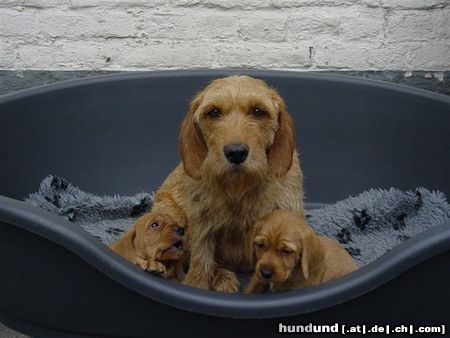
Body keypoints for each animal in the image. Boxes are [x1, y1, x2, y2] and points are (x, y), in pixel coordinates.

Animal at [146, 75, 304, 292]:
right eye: (214, 112)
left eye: (258, 111)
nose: (236, 152)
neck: (239, 188)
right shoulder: (202, 221)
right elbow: (201, 259)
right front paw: (197, 285)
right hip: (168, 212)